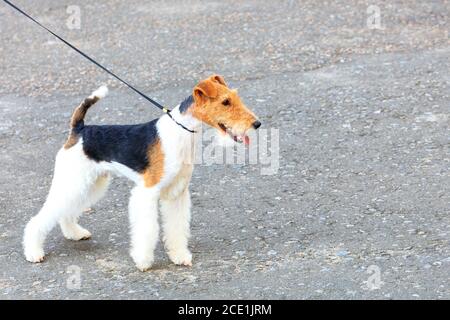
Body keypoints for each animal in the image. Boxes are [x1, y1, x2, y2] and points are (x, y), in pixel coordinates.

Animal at [22, 74, 260, 270]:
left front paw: (179, 255)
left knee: (66, 211)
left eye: (235, 97)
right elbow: (148, 229)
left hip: (91, 183)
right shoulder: (147, 191)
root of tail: (79, 129)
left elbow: (176, 227)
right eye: (225, 102)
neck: (181, 131)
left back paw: (75, 233)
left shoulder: (177, 192)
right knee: (41, 217)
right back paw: (34, 252)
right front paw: (143, 261)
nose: (256, 123)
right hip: (74, 180)